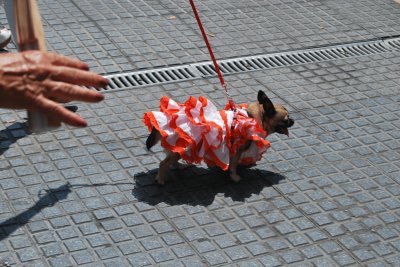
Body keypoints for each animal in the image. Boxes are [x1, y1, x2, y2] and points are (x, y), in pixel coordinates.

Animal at [144, 91, 294, 185]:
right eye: (286, 120)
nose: (293, 120)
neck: (253, 118)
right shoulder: (237, 149)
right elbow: (233, 164)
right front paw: (234, 176)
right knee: (163, 163)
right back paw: (160, 179)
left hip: (179, 149)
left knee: (170, 157)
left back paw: (178, 166)